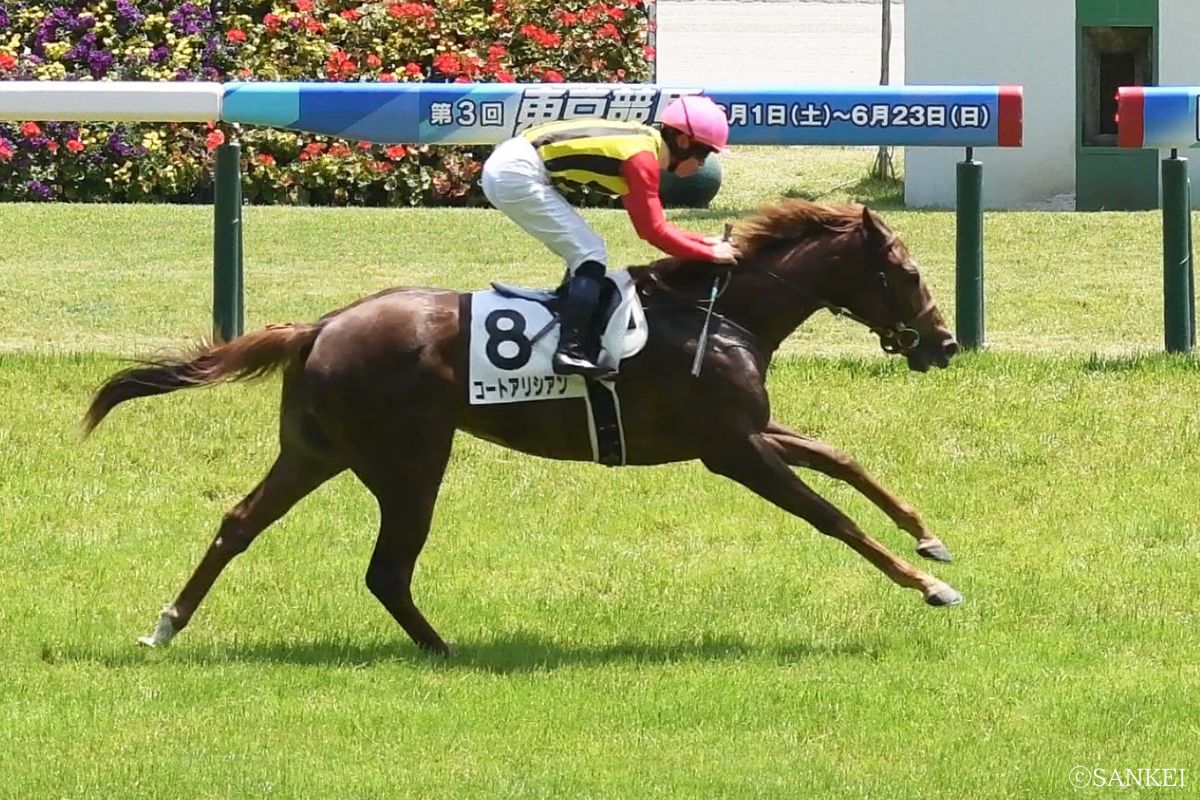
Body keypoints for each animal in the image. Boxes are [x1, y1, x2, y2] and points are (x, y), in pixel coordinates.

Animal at [83, 200, 963, 656]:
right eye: (910, 272)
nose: (946, 342)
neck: (719, 313)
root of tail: (321, 325)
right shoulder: (731, 449)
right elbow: (831, 515)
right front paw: (929, 586)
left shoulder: (745, 432)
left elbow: (843, 460)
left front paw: (931, 541)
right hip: (409, 461)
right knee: (386, 569)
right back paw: (444, 651)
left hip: (316, 450)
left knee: (238, 523)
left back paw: (166, 626)